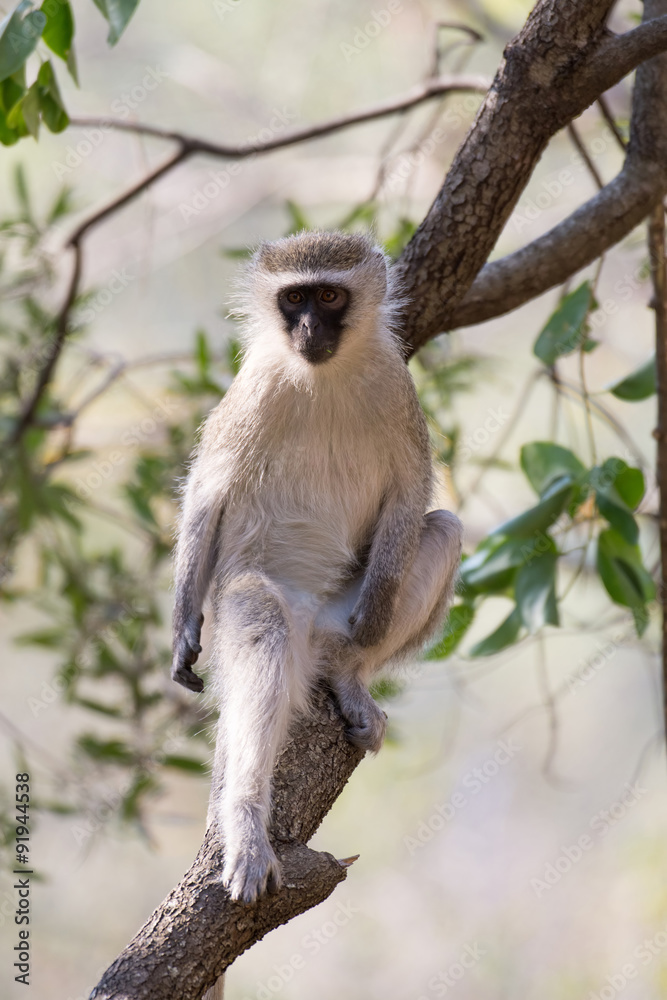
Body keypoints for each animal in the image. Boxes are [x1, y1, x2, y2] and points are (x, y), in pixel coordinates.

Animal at [171, 230, 463, 908]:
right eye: (294, 298)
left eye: (329, 297)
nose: (307, 329)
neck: (321, 376)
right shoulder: (251, 390)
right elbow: (206, 493)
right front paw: (181, 632)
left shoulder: (398, 387)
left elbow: (410, 494)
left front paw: (377, 613)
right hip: (255, 604)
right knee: (262, 630)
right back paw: (247, 823)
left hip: (336, 618)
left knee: (441, 531)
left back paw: (349, 674)